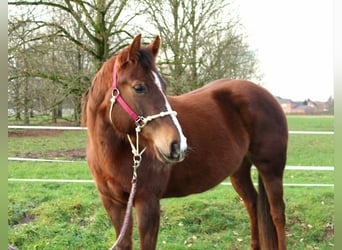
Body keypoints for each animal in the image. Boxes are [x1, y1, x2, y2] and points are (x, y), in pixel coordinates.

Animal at [81, 34, 288, 249]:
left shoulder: (148, 203)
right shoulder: (113, 204)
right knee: (253, 204)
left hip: (271, 169)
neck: (112, 154)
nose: (177, 145)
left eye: (164, 86)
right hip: (239, 170)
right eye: (139, 87)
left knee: (277, 213)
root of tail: (267, 95)